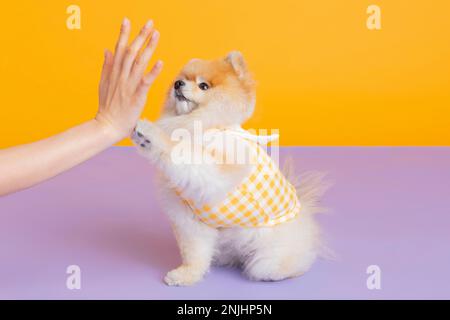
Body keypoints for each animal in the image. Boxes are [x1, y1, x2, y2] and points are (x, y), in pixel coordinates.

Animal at [132, 51, 328, 286]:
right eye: (181, 79)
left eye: (203, 86)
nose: (178, 84)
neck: (201, 127)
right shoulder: (189, 219)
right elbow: (194, 253)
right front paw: (187, 275)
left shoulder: (218, 174)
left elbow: (186, 154)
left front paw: (152, 134)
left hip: (271, 248)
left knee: (277, 263)